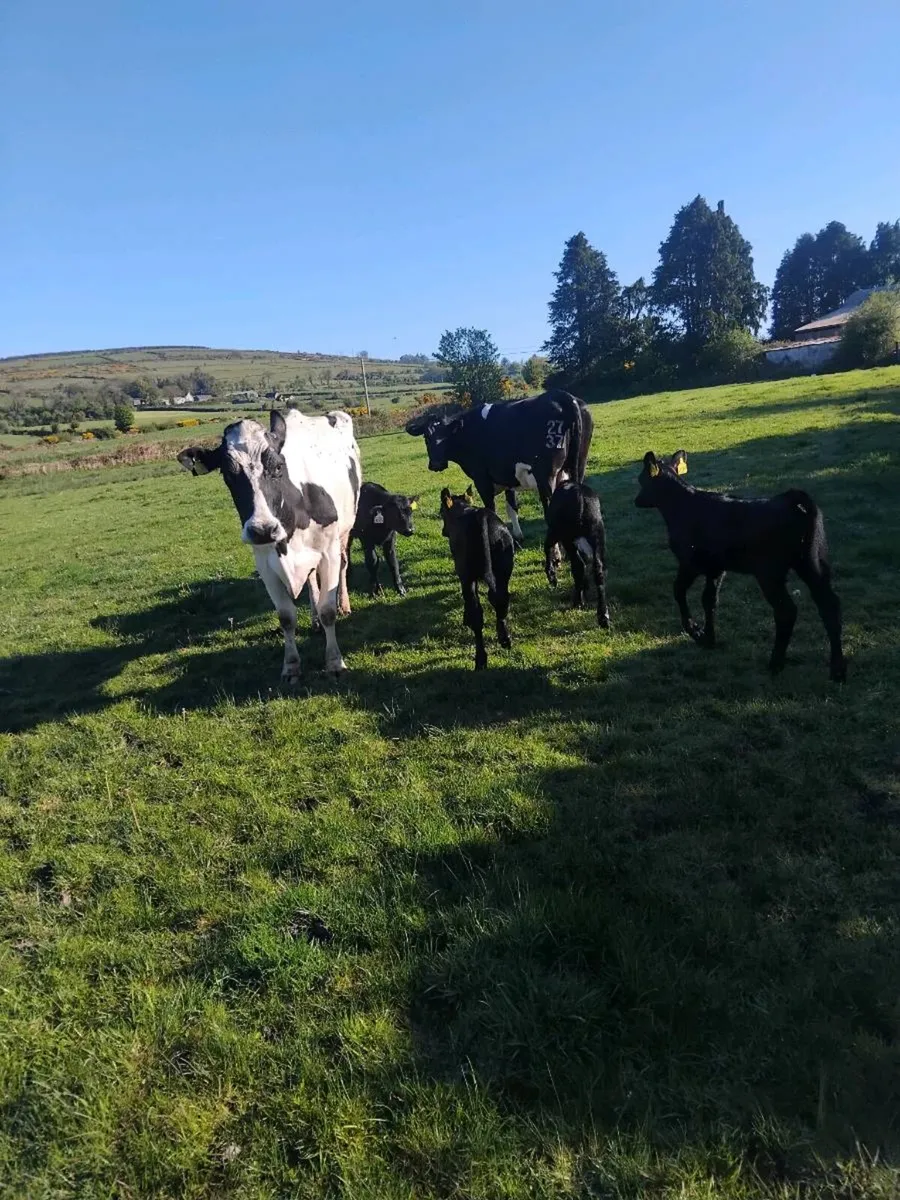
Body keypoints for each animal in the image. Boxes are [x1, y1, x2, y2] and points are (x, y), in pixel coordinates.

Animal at [177, 409, 361, 679]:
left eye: (278, 466)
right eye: (227, 473)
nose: (262, 529)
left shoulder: (328, 551)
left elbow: (328, 610)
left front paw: (335, 662)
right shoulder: (264, 563)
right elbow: (286, 617)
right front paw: (291, 666)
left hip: (344, 532)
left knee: (343, 566)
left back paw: (344, 605)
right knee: (311, 580)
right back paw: (314, 620)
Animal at [408, 390, 592, 547]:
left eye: (445, 436)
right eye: (426, 436)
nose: (436, 464)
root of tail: (562, 395)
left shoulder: (482, 479)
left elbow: (491, 509)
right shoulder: (508, 478)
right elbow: (512, 508)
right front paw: (517, 537)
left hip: (546, 476)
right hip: (578, 467)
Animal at [439, 486, 514, 670]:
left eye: (441, 513)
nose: (443, 531)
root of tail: (482, 517)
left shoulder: (464, 575)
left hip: (467, 573)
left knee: (476, 614)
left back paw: (480, 659)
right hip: (504, 568)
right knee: (501, 600)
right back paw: (505, 639)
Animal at [544, 481, 610, 628]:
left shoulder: (553, 532)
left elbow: (548, 548)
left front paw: (552, 576)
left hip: (566, 537)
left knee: (578, 565)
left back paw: (578, 602)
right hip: (598, 537)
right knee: (598, 571)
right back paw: (603, 616)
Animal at [635, 450, 846, 682]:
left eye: (641, 480)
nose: (637, 500)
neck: (681, 506)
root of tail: (790, 500)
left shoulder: (689, 563)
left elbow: (679, 591)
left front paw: (695, 631)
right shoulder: (716, 567)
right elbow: (709, 600)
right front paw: (709, 638)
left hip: (770, 573)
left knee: (787, 611)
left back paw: (775, 664)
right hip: (814, 563)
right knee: (829, 605)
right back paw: (837, 670)